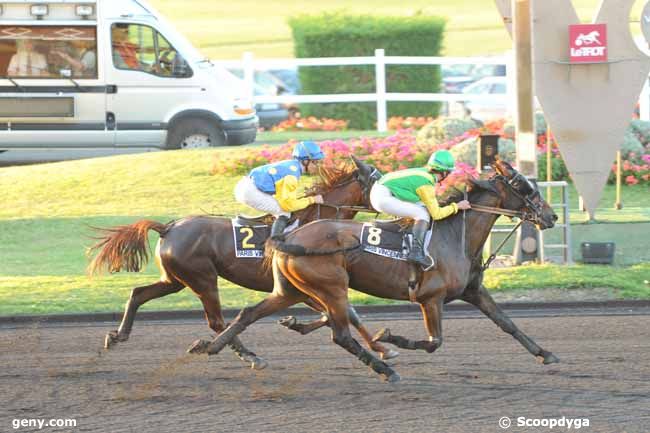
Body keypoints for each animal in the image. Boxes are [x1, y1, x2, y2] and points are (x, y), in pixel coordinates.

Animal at [85, 156, 394, 368]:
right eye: (379, 182)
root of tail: (168, 227)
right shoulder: (307, 286)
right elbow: (342, 314)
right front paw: (382, 346)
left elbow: (344, 314)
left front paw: (382, 347)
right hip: (202, 278)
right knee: (216, 320)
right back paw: (248, 355)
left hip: (174, 279)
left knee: (139, 294)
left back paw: (118, 335)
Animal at [196, 160, 556, 380]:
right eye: (525, 188)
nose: (551, 217)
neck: (455, 236)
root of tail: (287, 237)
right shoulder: (430, 298)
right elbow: (434, 341)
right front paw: (390, 338)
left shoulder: (473, 291)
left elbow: (507, 323)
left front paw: (545, 353)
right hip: (331, 287)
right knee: (341, 333)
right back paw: (384, 369)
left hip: (291, 289)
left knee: (249, 313)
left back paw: (216, 347)